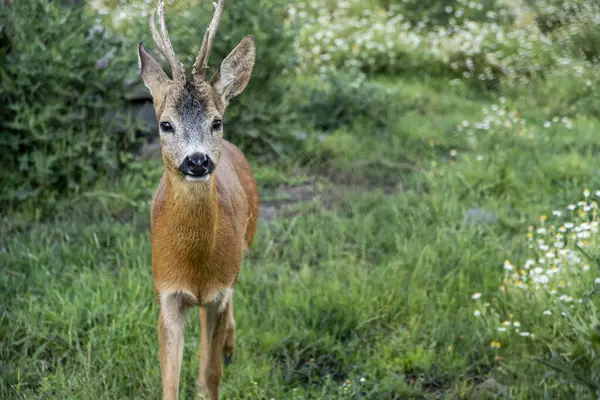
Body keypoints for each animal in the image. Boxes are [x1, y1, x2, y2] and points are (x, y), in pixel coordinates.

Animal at [137, 1, 258, 398]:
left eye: (216, 122)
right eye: (166, 124)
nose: (198, 161)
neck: (196, 268)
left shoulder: (219, 291)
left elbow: (211, 374)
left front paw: (217, 363)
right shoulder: (166, 293)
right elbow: (170, 384)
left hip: (247, 240)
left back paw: (231, 346)